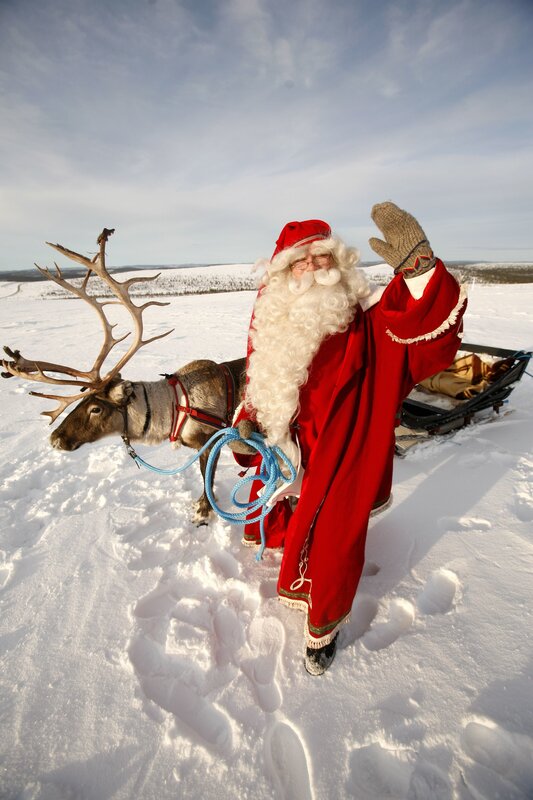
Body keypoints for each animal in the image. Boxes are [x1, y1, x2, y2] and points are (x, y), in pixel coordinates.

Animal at [2, 228, 247, 524]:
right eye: (80, 402)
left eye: (95, 408)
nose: (55, 439)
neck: (176, 407)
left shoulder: (211, 443)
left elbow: (207, 479)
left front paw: (203, 511)